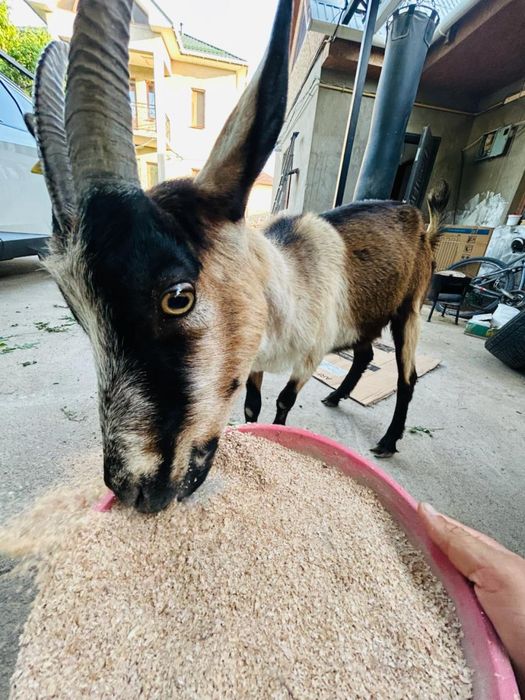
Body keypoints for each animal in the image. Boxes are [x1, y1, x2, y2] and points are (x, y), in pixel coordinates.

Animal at [29, 0, 448, 513]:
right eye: (78, 314)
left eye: (177, 297)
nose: (134, 490)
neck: (289, 282)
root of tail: (418, 218)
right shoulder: (253, 362)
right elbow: (252, 408)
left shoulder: (309, 355)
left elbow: (282, 405)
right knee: (366, 351)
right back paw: (337, 399)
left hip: (409, 309)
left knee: (407, 376)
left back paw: (388, 441)